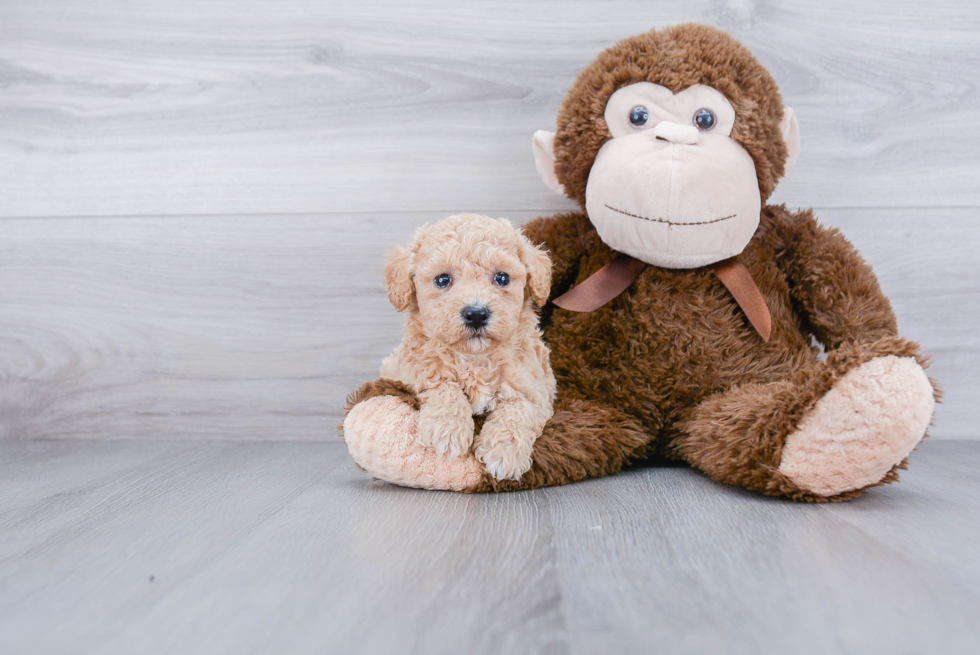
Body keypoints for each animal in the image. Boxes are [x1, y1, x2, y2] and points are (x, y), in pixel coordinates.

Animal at [378, 215, 556, 482]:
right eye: (443, 280)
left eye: (502, 278)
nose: (476, 314)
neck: (475, 358)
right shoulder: (409, 370)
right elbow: (442, 385)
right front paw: (448, 430)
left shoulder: (537, 387)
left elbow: (519, 409)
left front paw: (503, 454)